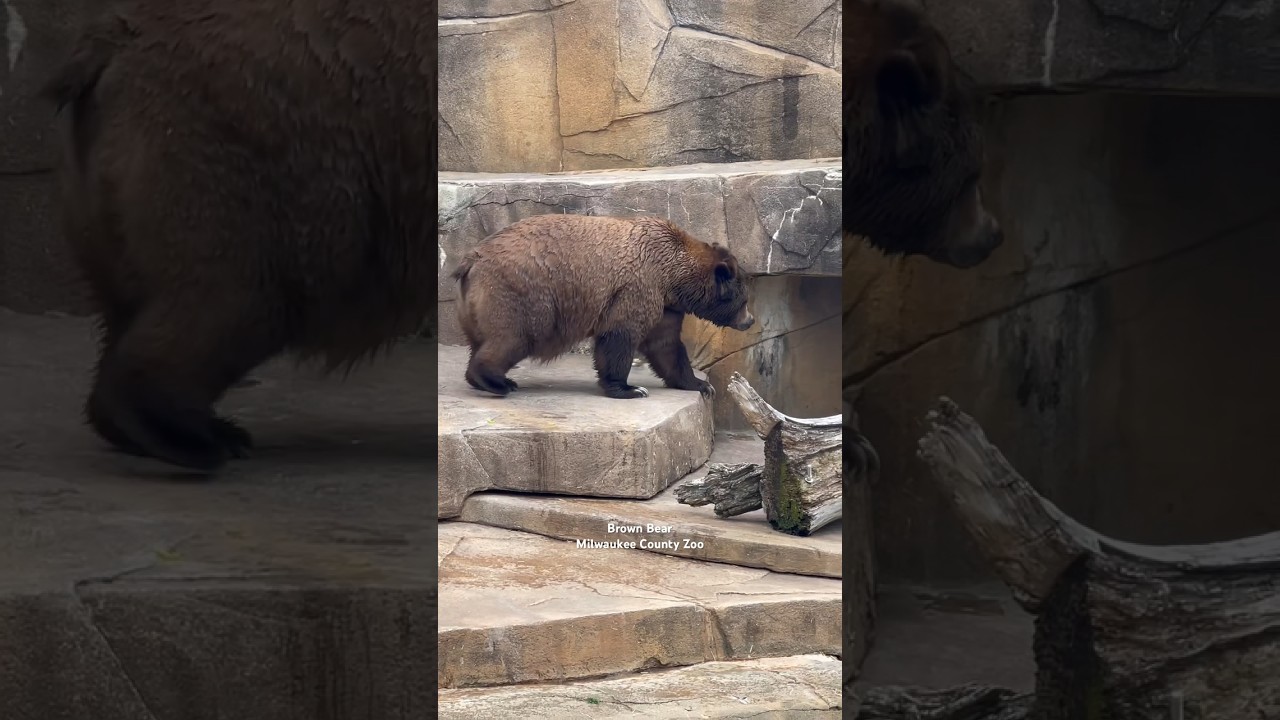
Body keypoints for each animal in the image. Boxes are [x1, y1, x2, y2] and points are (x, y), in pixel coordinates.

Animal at [452, 214, 755, 400]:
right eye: (744, 300)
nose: (750, 321)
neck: (671, 276)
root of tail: (471, 259)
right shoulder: (637, 288)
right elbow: (619, 337)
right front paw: (631, 388)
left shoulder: (666, 306)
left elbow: (666, 346)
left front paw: (701, 385)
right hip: (520, 292)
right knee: (514, 337)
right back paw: (497, 381)